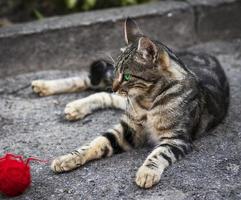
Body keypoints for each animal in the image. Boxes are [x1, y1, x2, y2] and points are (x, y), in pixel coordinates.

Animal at [31, 18, 229, 188]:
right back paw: (46, 87)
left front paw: (147, 172)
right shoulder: (128, 130)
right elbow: (95, 143)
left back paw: (74, 105)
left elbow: (158, 154)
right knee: (93, 84)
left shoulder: (176, 139)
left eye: (126, 76)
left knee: (104, 94)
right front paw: (68, 158)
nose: (115, 86)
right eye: (117, 72)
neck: (147, 101)